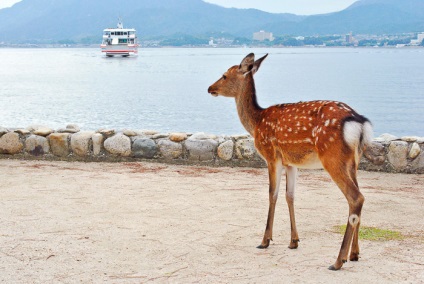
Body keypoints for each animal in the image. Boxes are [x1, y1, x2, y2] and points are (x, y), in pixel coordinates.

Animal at [207, 53, 372, 270]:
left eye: (225, 75)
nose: (210, 88)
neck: (256, 122)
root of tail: (359, 123)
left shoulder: (271, 155)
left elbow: (272, 194)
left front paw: (265, 240)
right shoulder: (291, 163)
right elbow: (290, 196)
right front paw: (294, 241)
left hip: (332, 157)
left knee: (356, 197)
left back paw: (338, 260)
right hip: (354, 161)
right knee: (360, 197)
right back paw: (354, 253)